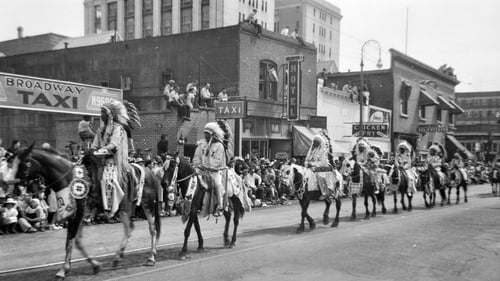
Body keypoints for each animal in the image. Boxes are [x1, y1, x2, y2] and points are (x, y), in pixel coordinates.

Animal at [9, 144, 161, 280]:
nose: (14, 188)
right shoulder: (78, 215)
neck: (68, 179)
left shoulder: (77, 215)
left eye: (23, 164)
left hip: (147, 205)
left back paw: (151, 257)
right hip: (124, 209)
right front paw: (94, 265)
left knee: (152, 229)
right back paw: (117, 258)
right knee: (129, 228)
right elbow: (77, 242)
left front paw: (63, 270)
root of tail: (150, 173)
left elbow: (70, 242)